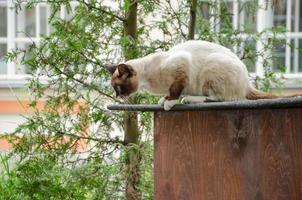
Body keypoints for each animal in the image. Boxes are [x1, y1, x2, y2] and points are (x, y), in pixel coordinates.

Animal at [106, 39, 300, 110]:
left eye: (118, 88)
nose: (116, 97)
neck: (148, 81)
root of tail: (247, 84)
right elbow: (172, 91)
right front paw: (163, 100)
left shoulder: (182, 67)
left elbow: (175, 91)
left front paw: (169, 102)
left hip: (210, 68)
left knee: (220, 99)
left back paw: (189, 99)